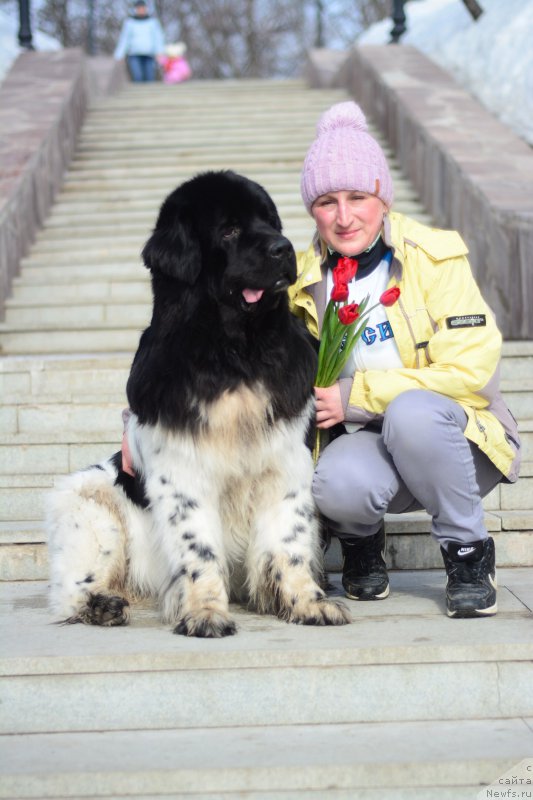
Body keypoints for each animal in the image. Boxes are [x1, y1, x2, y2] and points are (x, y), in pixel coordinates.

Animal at [47, 170, 352, 636]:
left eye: (270, 221)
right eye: (229, 230)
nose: (283, 248)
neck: (233, 353)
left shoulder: (285, 461)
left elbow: (289, 541)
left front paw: (308, 603)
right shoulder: (183, 472)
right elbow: (199, 549)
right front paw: (205, 612)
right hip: (92, 504)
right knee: (71, 587)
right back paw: (102, 606)